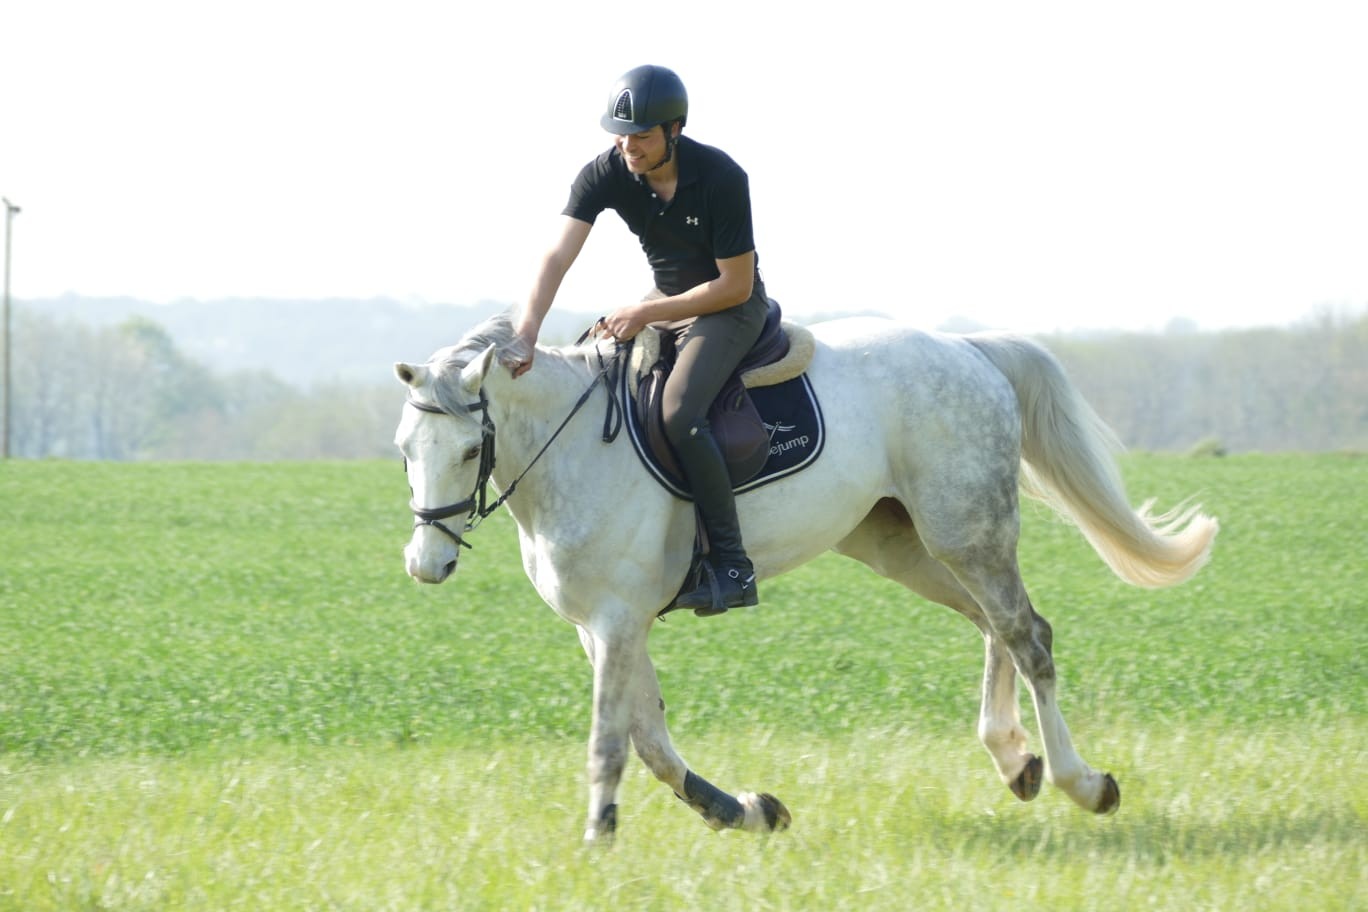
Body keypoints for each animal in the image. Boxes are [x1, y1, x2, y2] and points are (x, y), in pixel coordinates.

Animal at [393, 311, 1218, 843]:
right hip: (905, 545)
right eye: (404, 447)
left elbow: (612, 740)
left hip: (967, 530)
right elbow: (650, 737)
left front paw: (599, 839)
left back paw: (1084, 783)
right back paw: (1015, 758)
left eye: (467, 450)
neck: (567, 452)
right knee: (999, 627)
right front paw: (748, 811)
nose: (426, 565)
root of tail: (968, 347)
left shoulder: (618, 619)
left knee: (1027, 635)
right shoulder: (601, 628)